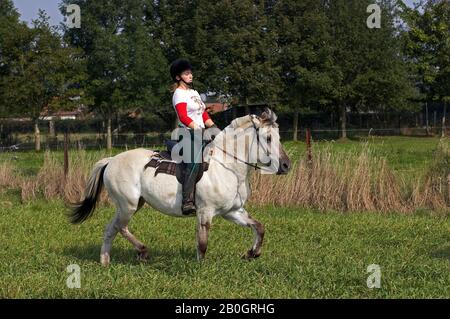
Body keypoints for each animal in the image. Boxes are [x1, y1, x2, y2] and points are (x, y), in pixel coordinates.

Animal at [68, 109, 290, 266]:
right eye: (268, 138)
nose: (286, 165)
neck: (227, 167)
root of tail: (111, 160)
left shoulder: (232, 211)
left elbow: (259, 227)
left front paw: (252, 253)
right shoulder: (205, 212)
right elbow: (202, 243)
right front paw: (201, 269)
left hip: (132, 204)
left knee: (111, 229)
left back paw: (105, 262)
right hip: (127, 205)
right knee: (120, 227)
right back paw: (142, 252)